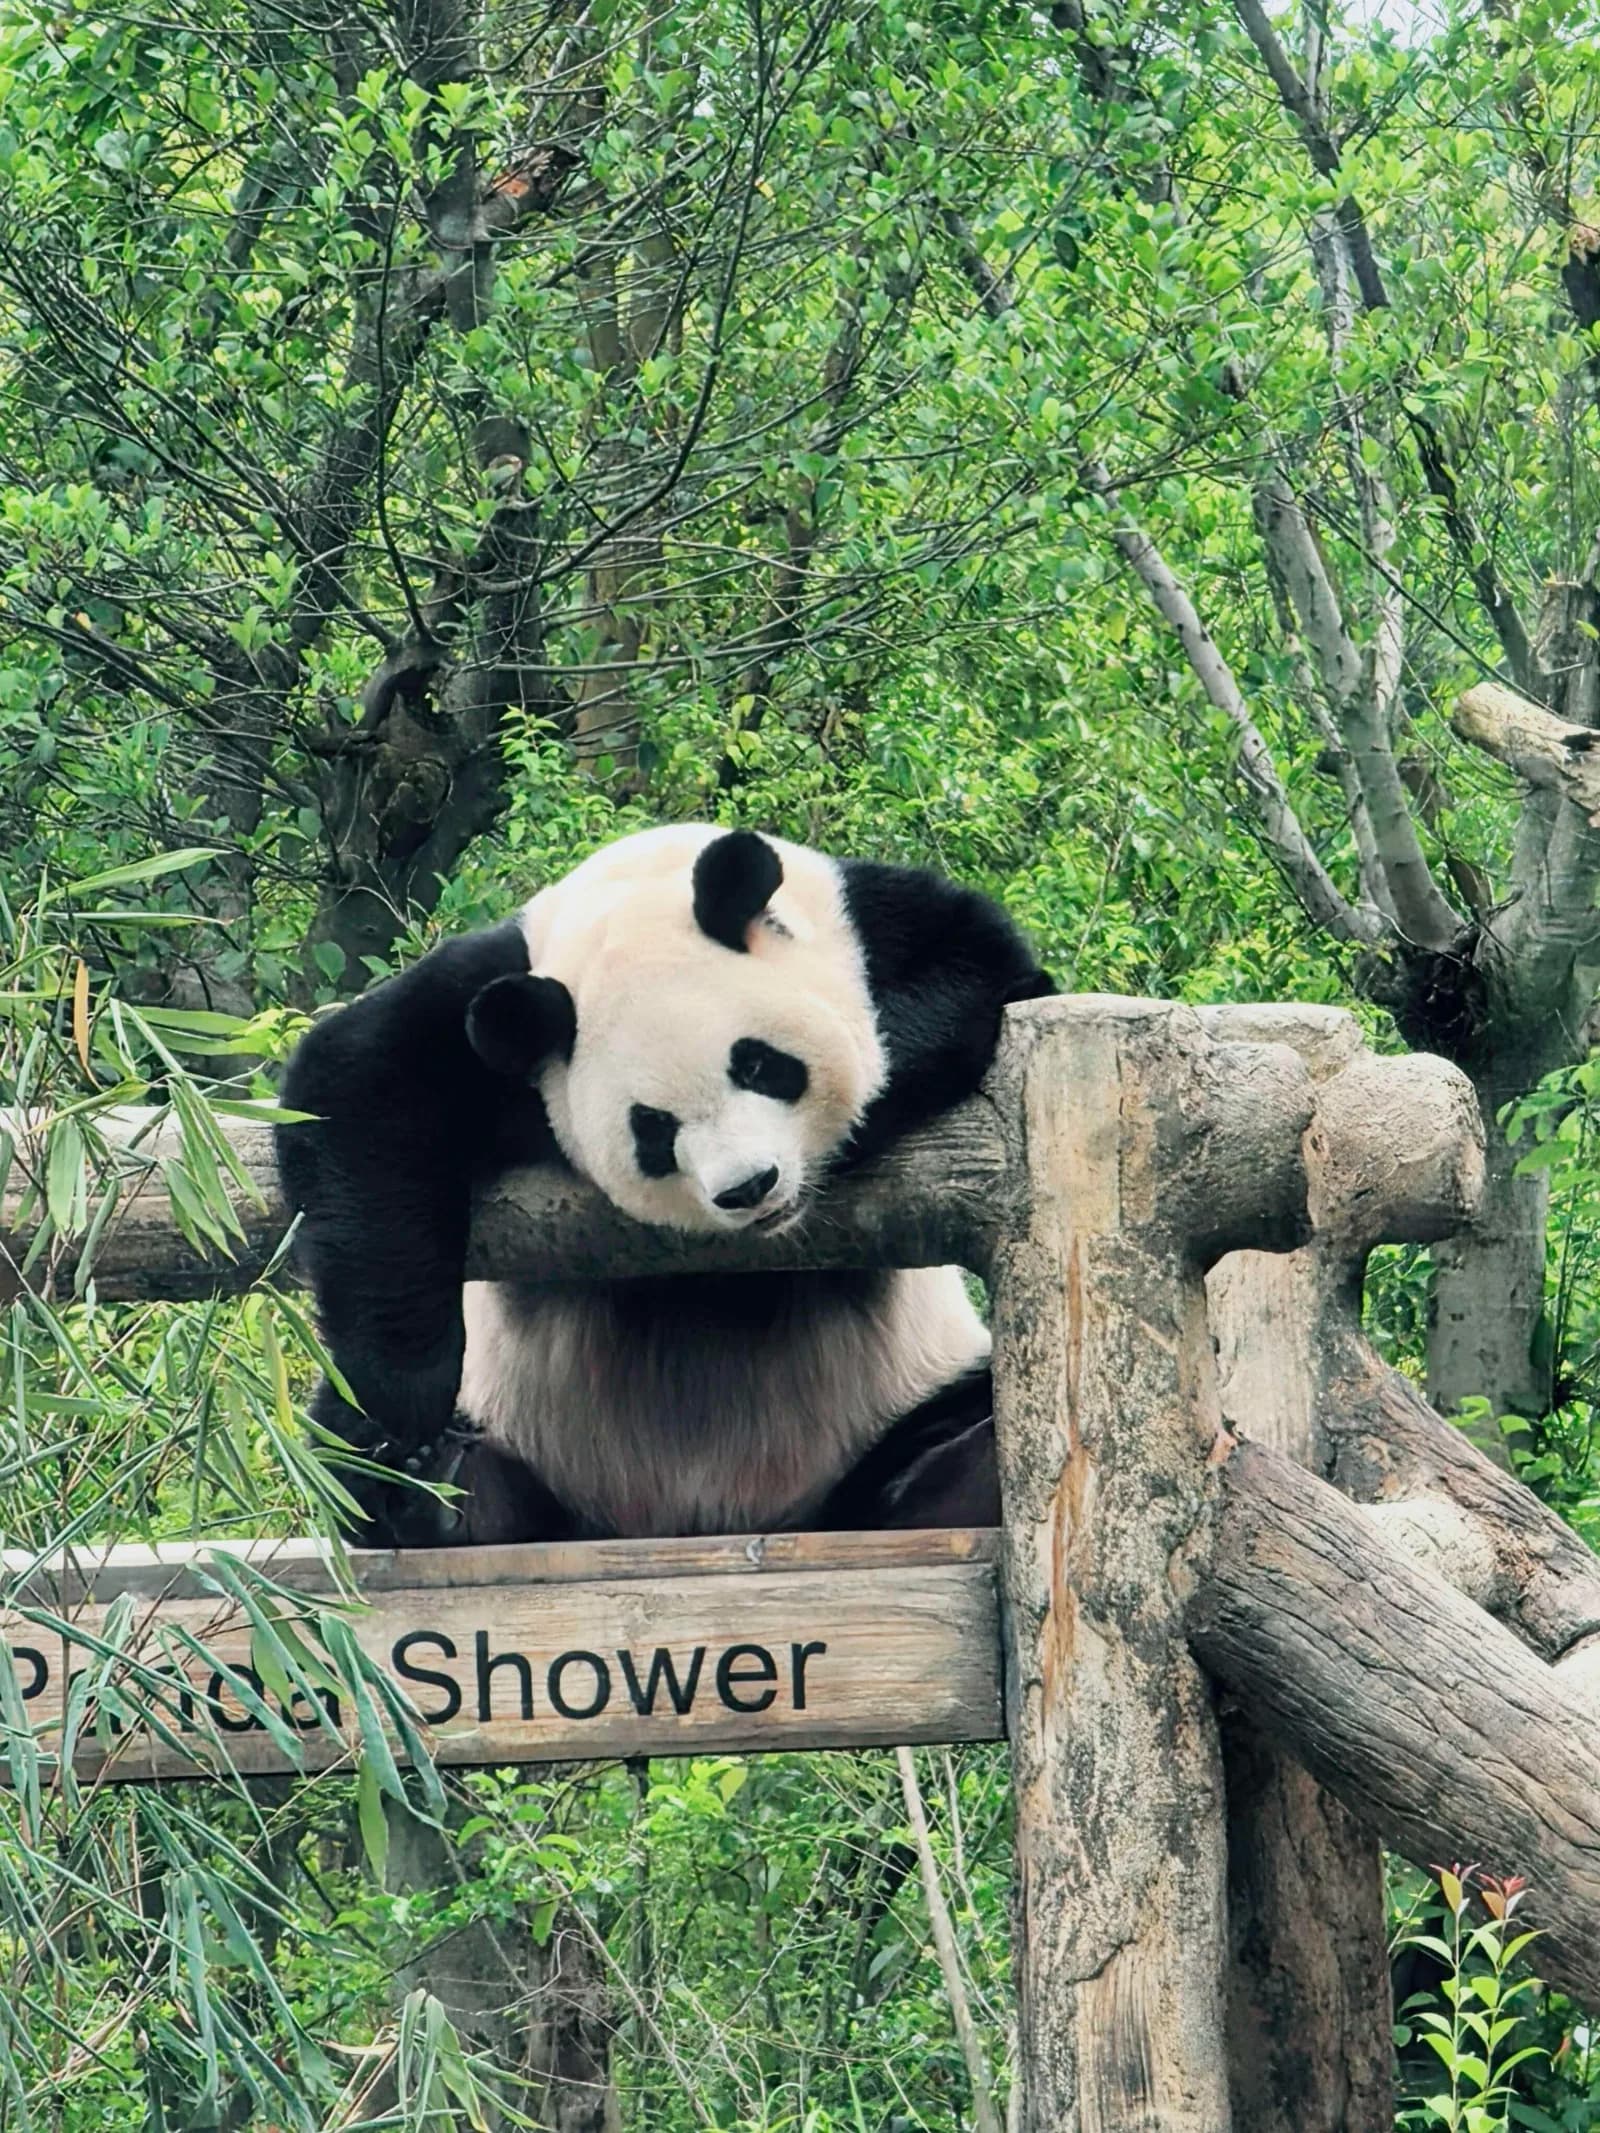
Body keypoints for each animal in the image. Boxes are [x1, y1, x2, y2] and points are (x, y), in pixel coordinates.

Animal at [276, 824, 1052, 1548]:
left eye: (759, 1064)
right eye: (652, 1127)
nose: (751, 1186)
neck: (638, 890)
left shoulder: (864, 918)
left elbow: (985, 969)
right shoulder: (489, 989)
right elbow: (358, 1080)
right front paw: (404, 1401)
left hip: (900, 1396)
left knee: (953, 1423)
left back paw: (959, 1472)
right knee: (350, 1449)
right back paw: (435, 1485)